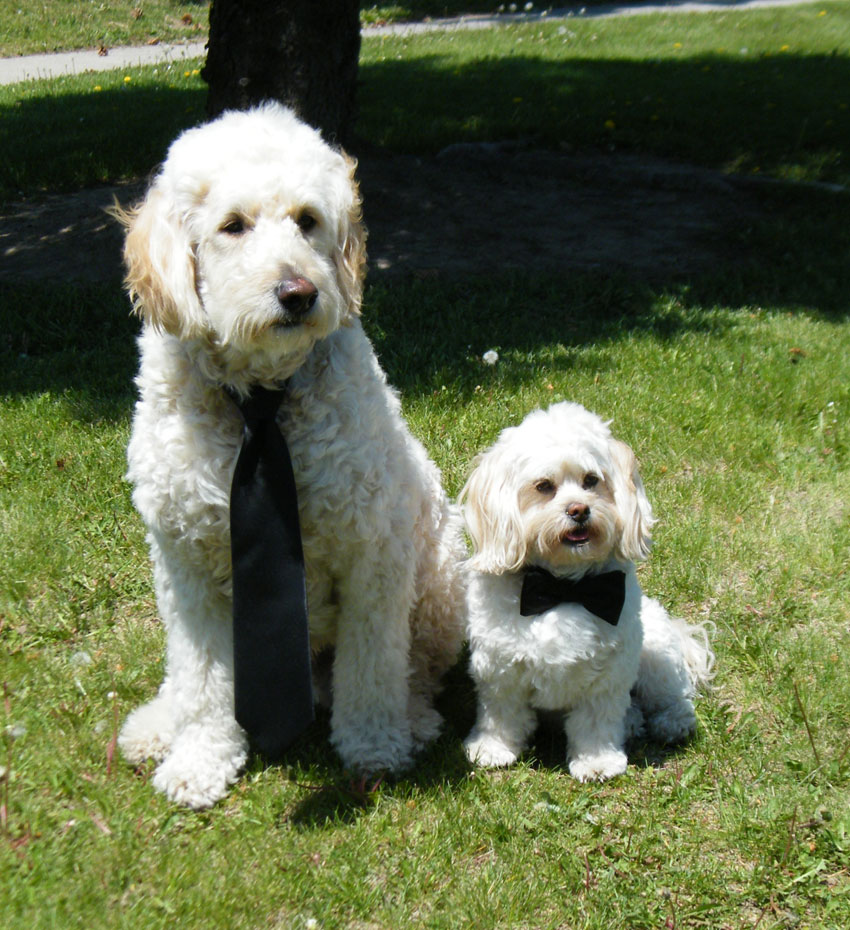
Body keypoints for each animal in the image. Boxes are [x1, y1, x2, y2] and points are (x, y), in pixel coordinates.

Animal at [113, 103, 465, 808]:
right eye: (232, 225)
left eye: (307, 219)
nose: (298, 292)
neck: (260, 402)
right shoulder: (185, 567)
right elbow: (202, 679)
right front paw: (199, 758)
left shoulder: (372, 555)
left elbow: (372, 666)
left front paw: (373, 744)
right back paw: (159, 724)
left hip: (439, 580)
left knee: (413, 668)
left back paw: (411, 718)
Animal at [460, 402, 713, 781]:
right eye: (544, 486)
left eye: (591, 480)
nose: (579, 510)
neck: (563, 588)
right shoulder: (499, 668)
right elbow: (501, 714)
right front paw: (493, 748)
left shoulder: (607, 675)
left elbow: (596, 722)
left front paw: (598, 762)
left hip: (655, 653)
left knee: (671, 694)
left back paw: (672, 721)